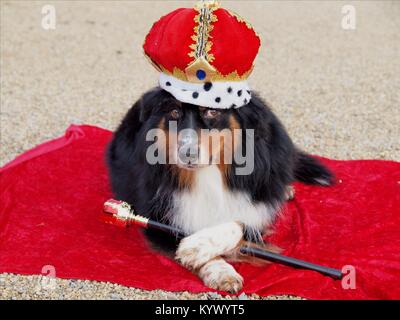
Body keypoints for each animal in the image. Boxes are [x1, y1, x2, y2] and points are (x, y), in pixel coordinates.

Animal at [105, 1, 332, 292]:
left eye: (212, 112)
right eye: (175, 112)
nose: (187, 154)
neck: (210, 173)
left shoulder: (256, 209)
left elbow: (240, 222)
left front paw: (199, 244)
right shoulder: (160, 219)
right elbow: (191, 243)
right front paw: (216, 267)